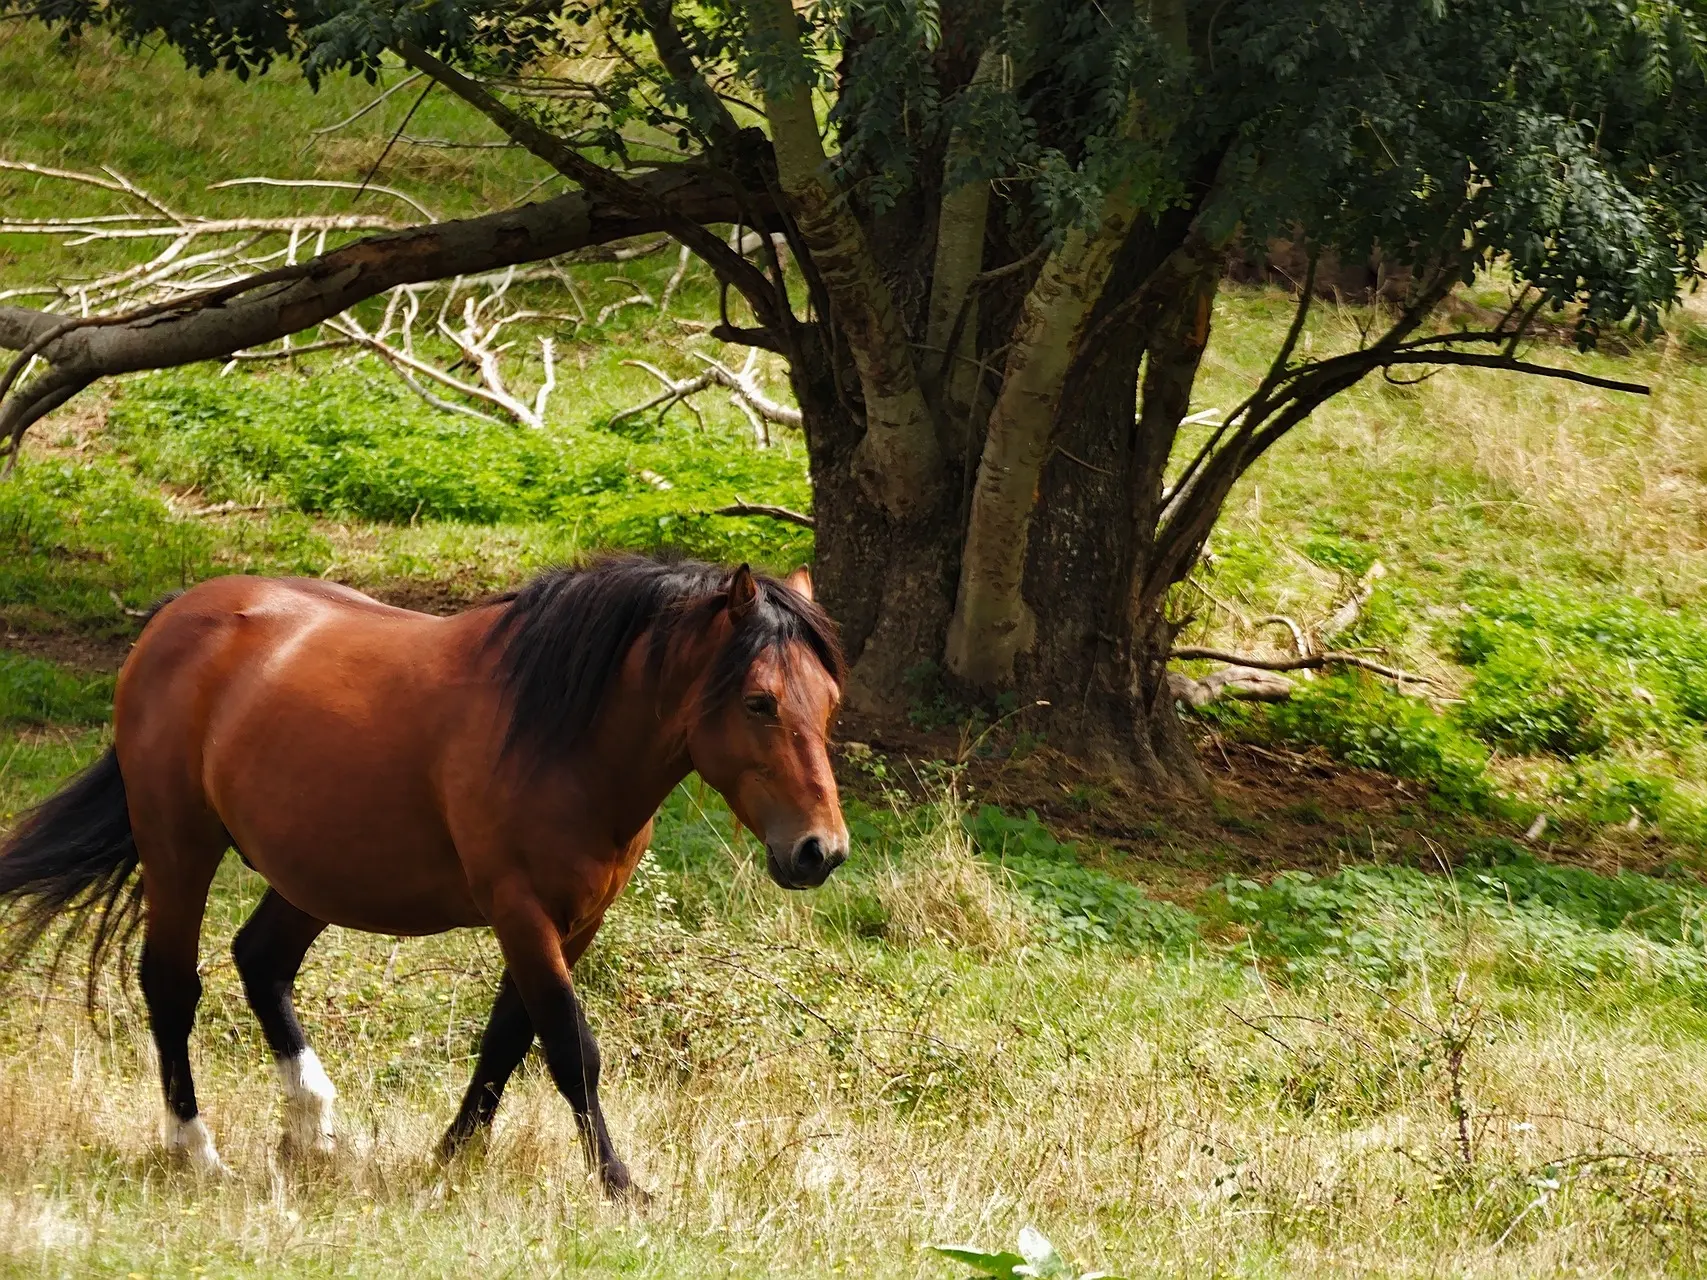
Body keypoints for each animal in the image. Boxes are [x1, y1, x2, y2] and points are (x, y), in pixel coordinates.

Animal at [0, 556, 850, 1201]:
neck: (562, 735)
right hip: (180, 844)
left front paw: (452, 1156)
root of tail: (175, 620)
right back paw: (197, 1151)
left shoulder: (578, 919)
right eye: (758, 701)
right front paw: (618, 1183)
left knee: (260, 962)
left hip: (315, 871)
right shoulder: (519, 909)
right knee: (173, 985)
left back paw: (314, 1130)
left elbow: (508, 1037)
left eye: (830, 702)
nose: (821, 851)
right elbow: (570, 1046)